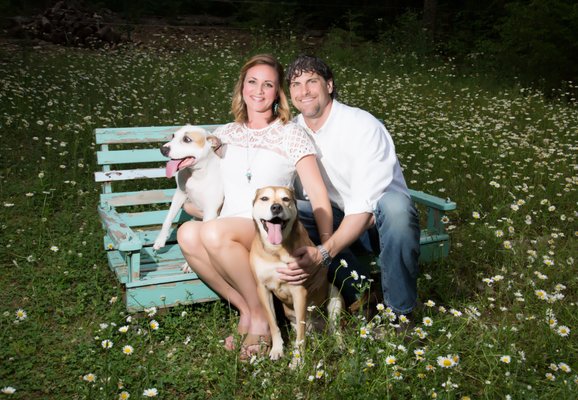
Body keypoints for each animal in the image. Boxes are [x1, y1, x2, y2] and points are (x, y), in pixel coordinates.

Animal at [153, 126, 223, 260]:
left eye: (187, 139)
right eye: (173, 135)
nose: (163, 149)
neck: (197, 174)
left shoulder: (210, 211)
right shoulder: (179, 194)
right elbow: (167, 219)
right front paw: (160, 240)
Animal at [249, 186, 342, 368]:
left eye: (286, 199)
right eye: (264, 198)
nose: (276, 207)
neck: (276, 250)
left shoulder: (299, 291)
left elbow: (300, 333)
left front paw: (298, 360)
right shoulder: (262, 289)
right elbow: (273, 323)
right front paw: (277, 350)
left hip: (335, 298)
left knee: (335, 328)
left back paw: (339, 345)